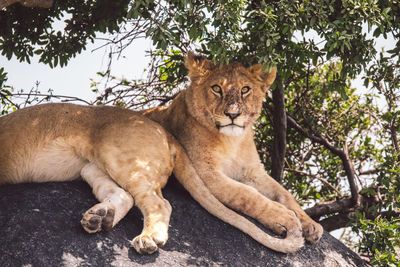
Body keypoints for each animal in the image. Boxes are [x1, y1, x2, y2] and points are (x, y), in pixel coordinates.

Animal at [0, 102, 304, 255]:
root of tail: (163, 129)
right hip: (92, 167)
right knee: (124, 195)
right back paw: (99, 218)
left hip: (123, 158)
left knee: (159, 203)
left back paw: (148, 239)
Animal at [142, 52, 324, 247]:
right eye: (216, 88)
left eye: (245, 89)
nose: (233, 114)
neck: (232, 142)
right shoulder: (206, 173)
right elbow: (247, 195)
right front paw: (284, 217)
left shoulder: (253, 172)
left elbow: (284, 194)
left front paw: (310, 224)